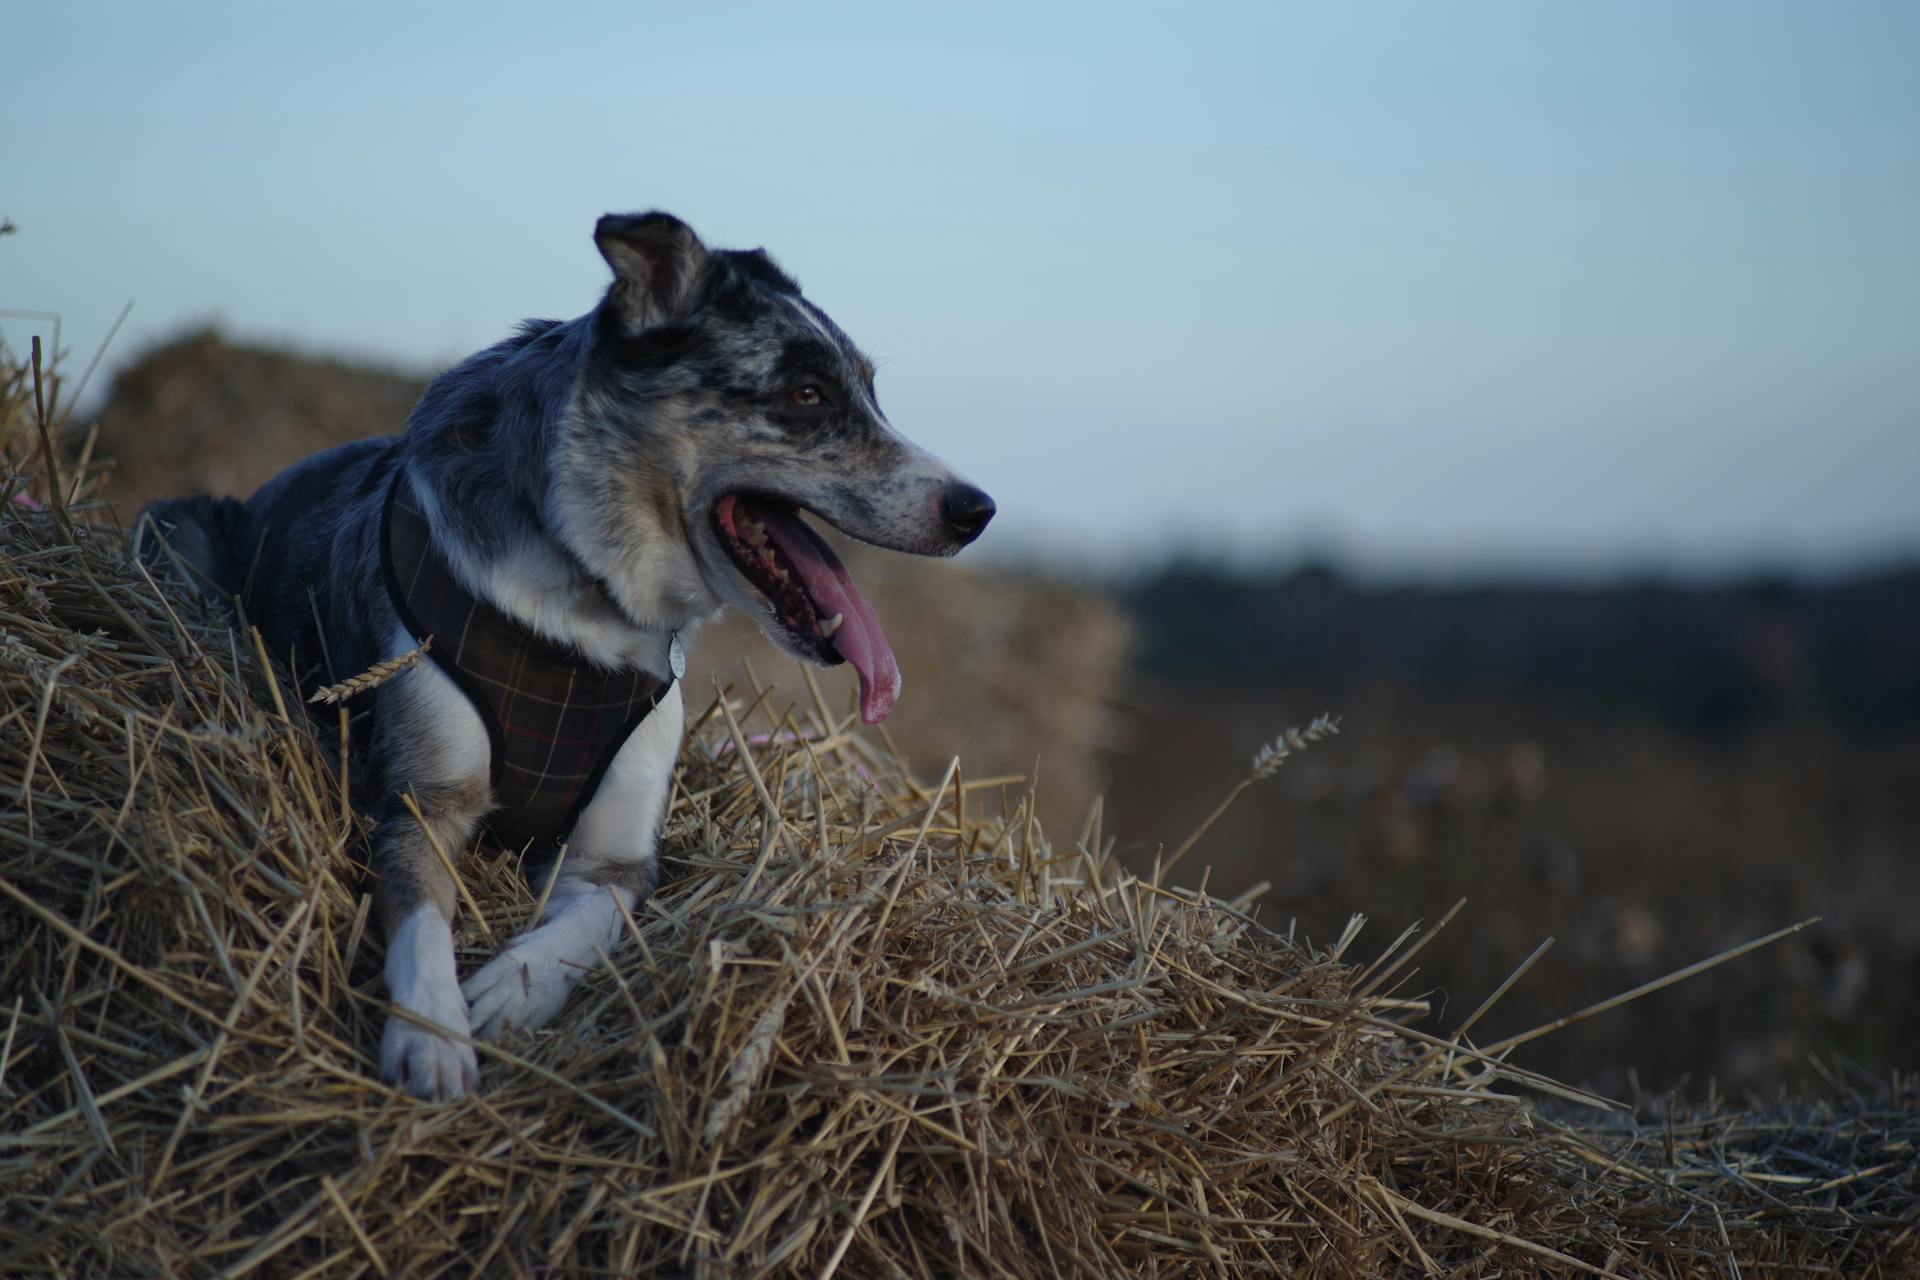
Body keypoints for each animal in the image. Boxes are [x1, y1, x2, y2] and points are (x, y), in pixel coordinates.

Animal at [142, 210, 998, 1105]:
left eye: (870, 390)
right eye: (807, 395)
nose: (978, 510)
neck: (590, 603)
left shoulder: (614, 862)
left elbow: (591, 922)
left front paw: (512, 990)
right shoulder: (422, 804)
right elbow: (420, 921)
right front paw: (433, 1035)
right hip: (174, 530)